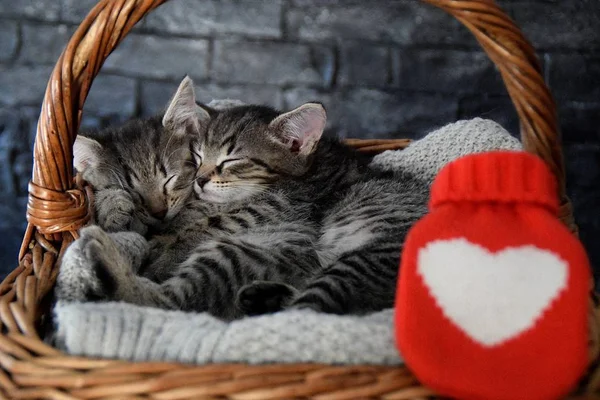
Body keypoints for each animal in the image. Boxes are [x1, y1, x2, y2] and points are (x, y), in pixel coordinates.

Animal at [56, 76, 428, 318]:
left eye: (230, 160)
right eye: (197, 155)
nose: (201, 179)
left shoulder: (282, 204)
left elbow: (198, 230)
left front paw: (161, 249)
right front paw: (115, 207)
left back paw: (102, 257)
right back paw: (265, 296)